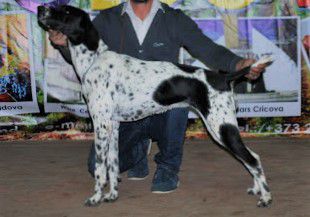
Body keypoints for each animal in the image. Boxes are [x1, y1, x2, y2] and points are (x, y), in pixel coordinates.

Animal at [37, 4, 272, 207]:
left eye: (66, 10)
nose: (40, 8)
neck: (93, 60)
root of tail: (222, 77)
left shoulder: (101, 126)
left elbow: (99, 169)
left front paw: (95, 198)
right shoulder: (112, 126)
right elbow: (112, 166)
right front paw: (111, 195)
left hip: (221, 127)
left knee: (253, 159)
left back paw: (266, 197)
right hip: (223, 127)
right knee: (254, 158)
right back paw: (256, 190)